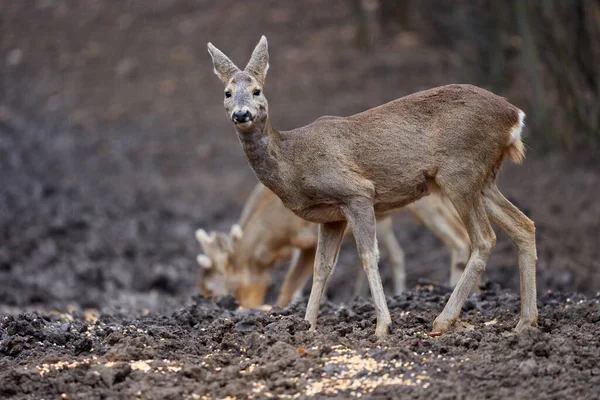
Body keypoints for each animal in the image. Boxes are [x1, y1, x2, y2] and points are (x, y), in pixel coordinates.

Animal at [195, 183, 472, 308]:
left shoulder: (310, 236)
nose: (244, 307)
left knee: (460, 240)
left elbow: (293, 284)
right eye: (204, 291)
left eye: (215, 291)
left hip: (426, 203)